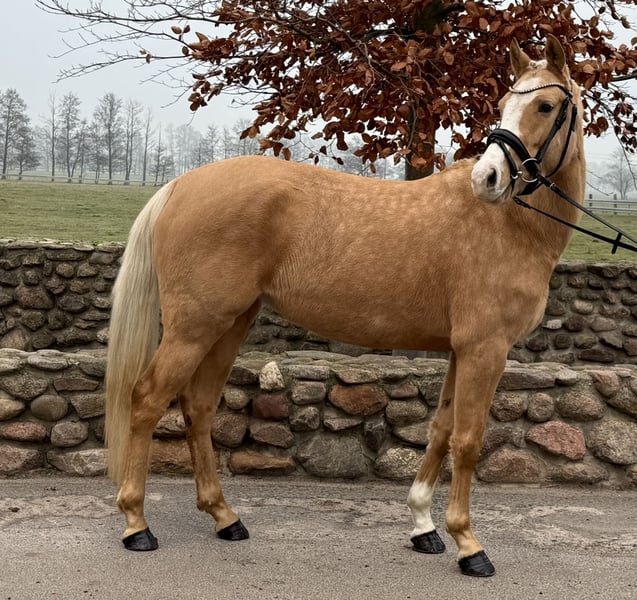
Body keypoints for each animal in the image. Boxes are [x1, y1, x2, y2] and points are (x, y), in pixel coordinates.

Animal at [105, 35, 585, 577]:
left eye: (544, 106)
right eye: (506, 103)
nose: (488, 178)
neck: (509, 227)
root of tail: (180, 185)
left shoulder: (462, 350)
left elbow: (441, 429)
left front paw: (424, 526)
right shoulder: (486, 349)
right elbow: (467, 439)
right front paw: (468, 543)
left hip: (228, 324)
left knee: (199, 406)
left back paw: (224, 516)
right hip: (194, 327)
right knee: (147, 400)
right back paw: (137, 525)